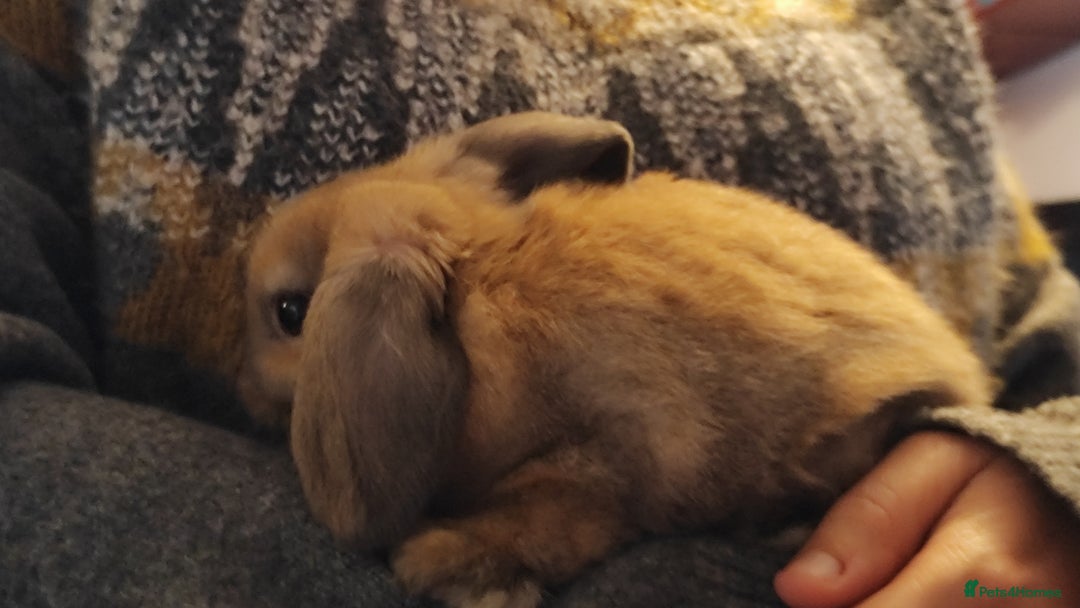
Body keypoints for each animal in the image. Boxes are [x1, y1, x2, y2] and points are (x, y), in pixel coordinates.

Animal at [238, 112, 991, 608]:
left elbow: (553, 520)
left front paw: (446, 566)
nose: (240, 385)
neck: (477, 280)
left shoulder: (599, 456)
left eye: (290, 313)